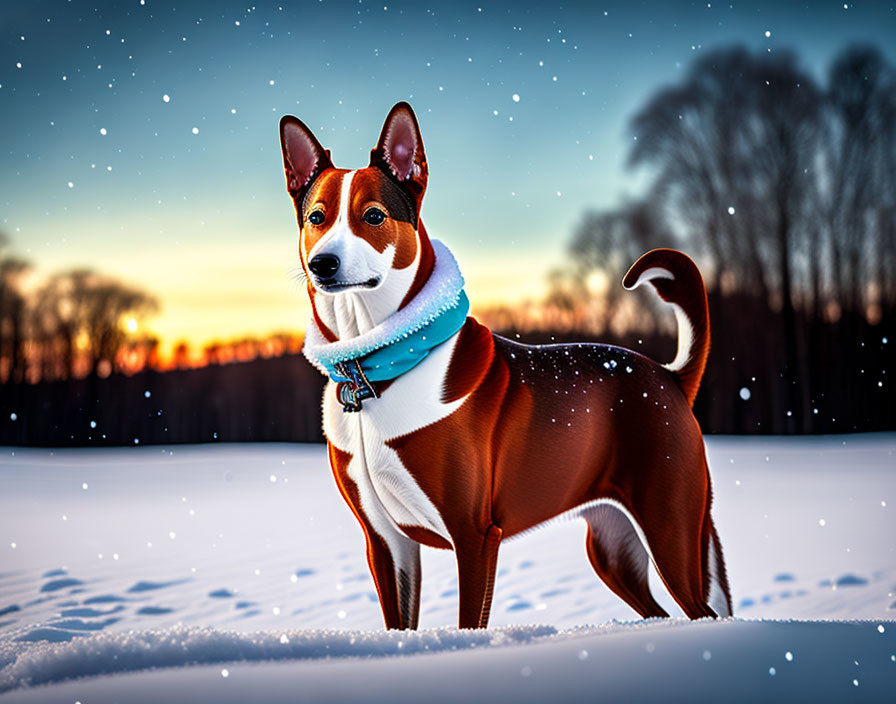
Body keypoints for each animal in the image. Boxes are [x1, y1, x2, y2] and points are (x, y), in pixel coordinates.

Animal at [276, 102, 732, 628]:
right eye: (316, 217)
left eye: (373, 215)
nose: (323, 263)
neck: (375, 369)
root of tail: (669, 376)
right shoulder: (386, 543)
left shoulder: (474, 535)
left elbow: (468, 620)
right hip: (614, 546)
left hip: (669, 526)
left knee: (702, 611)